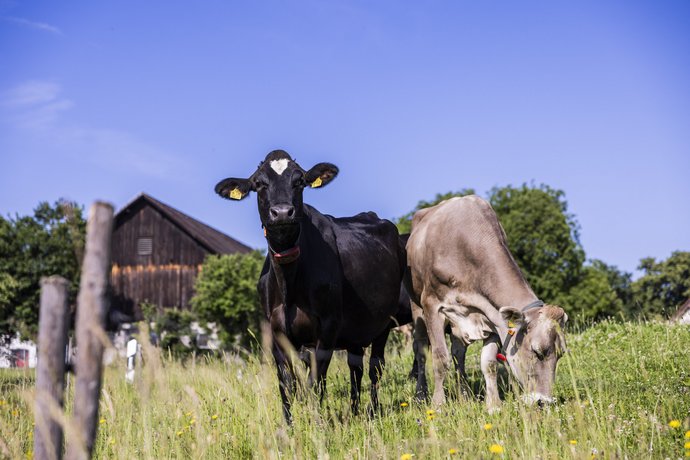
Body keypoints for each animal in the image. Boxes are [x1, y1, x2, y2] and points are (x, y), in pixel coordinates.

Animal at [215, 150, 406, 421]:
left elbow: (316, 383)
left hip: (384, 322)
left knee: (375, 367)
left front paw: (317, 424)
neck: (288, 285)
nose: (282, 212)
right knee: (355, 367)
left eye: (300, 181)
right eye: (259, 183)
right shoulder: (277, 332)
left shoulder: (327, 327)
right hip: (356, 328)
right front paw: (288, 426)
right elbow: (287, 384)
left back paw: (372, 410)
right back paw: (354, 411)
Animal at [404, 195, 568, 410]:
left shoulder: (490, 314)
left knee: (458, 353)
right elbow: (440, 359)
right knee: (421, 350)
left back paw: (464, 395)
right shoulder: (433, 306)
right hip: (417, 307)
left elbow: (488, 363)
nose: (544, 402)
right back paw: (421, 395)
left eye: (561, 353)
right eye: (536, 350)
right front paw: (438, 405)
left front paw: (494, 405)